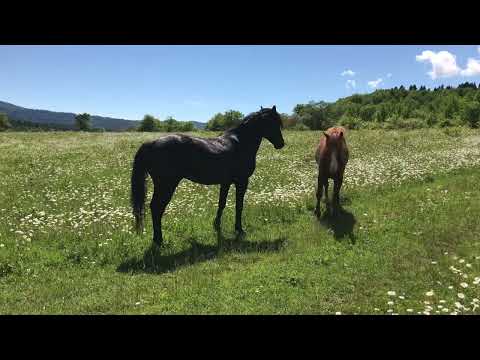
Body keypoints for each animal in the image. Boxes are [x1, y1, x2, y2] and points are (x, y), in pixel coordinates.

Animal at [130, 107, 284, 246]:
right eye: (272, 123)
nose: (281, 144)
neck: (240, 142)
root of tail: (150, 143)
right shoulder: (242, 181)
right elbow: (239, 205)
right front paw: (239, 229)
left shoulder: (226, 182)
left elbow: (222, 203)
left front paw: (217, 225)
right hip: (166, 185)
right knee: (156, 208)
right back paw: (159, 240)